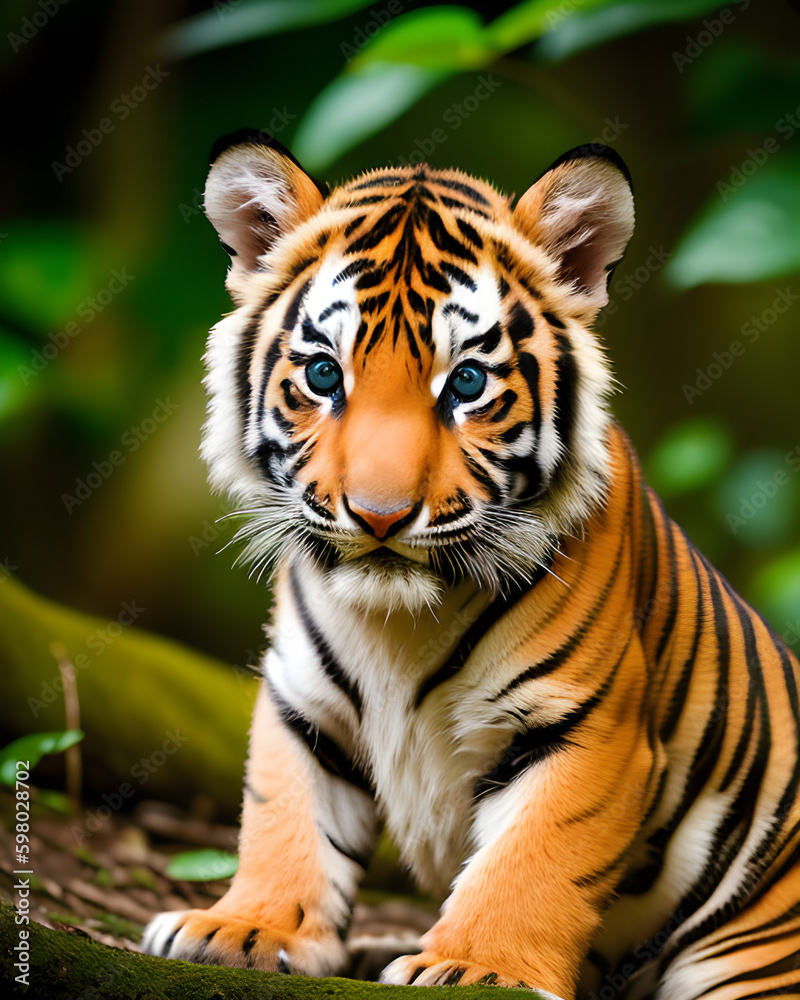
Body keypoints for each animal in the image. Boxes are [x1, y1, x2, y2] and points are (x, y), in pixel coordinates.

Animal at [142, 129, 800, 999]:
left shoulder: (588, 728)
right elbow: (284, 818)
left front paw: (479, 968)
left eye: (467, 382)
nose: (379, 514)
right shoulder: (302, 705)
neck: (394, 624)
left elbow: (533, 862)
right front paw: (248, 929)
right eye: (323, 374)